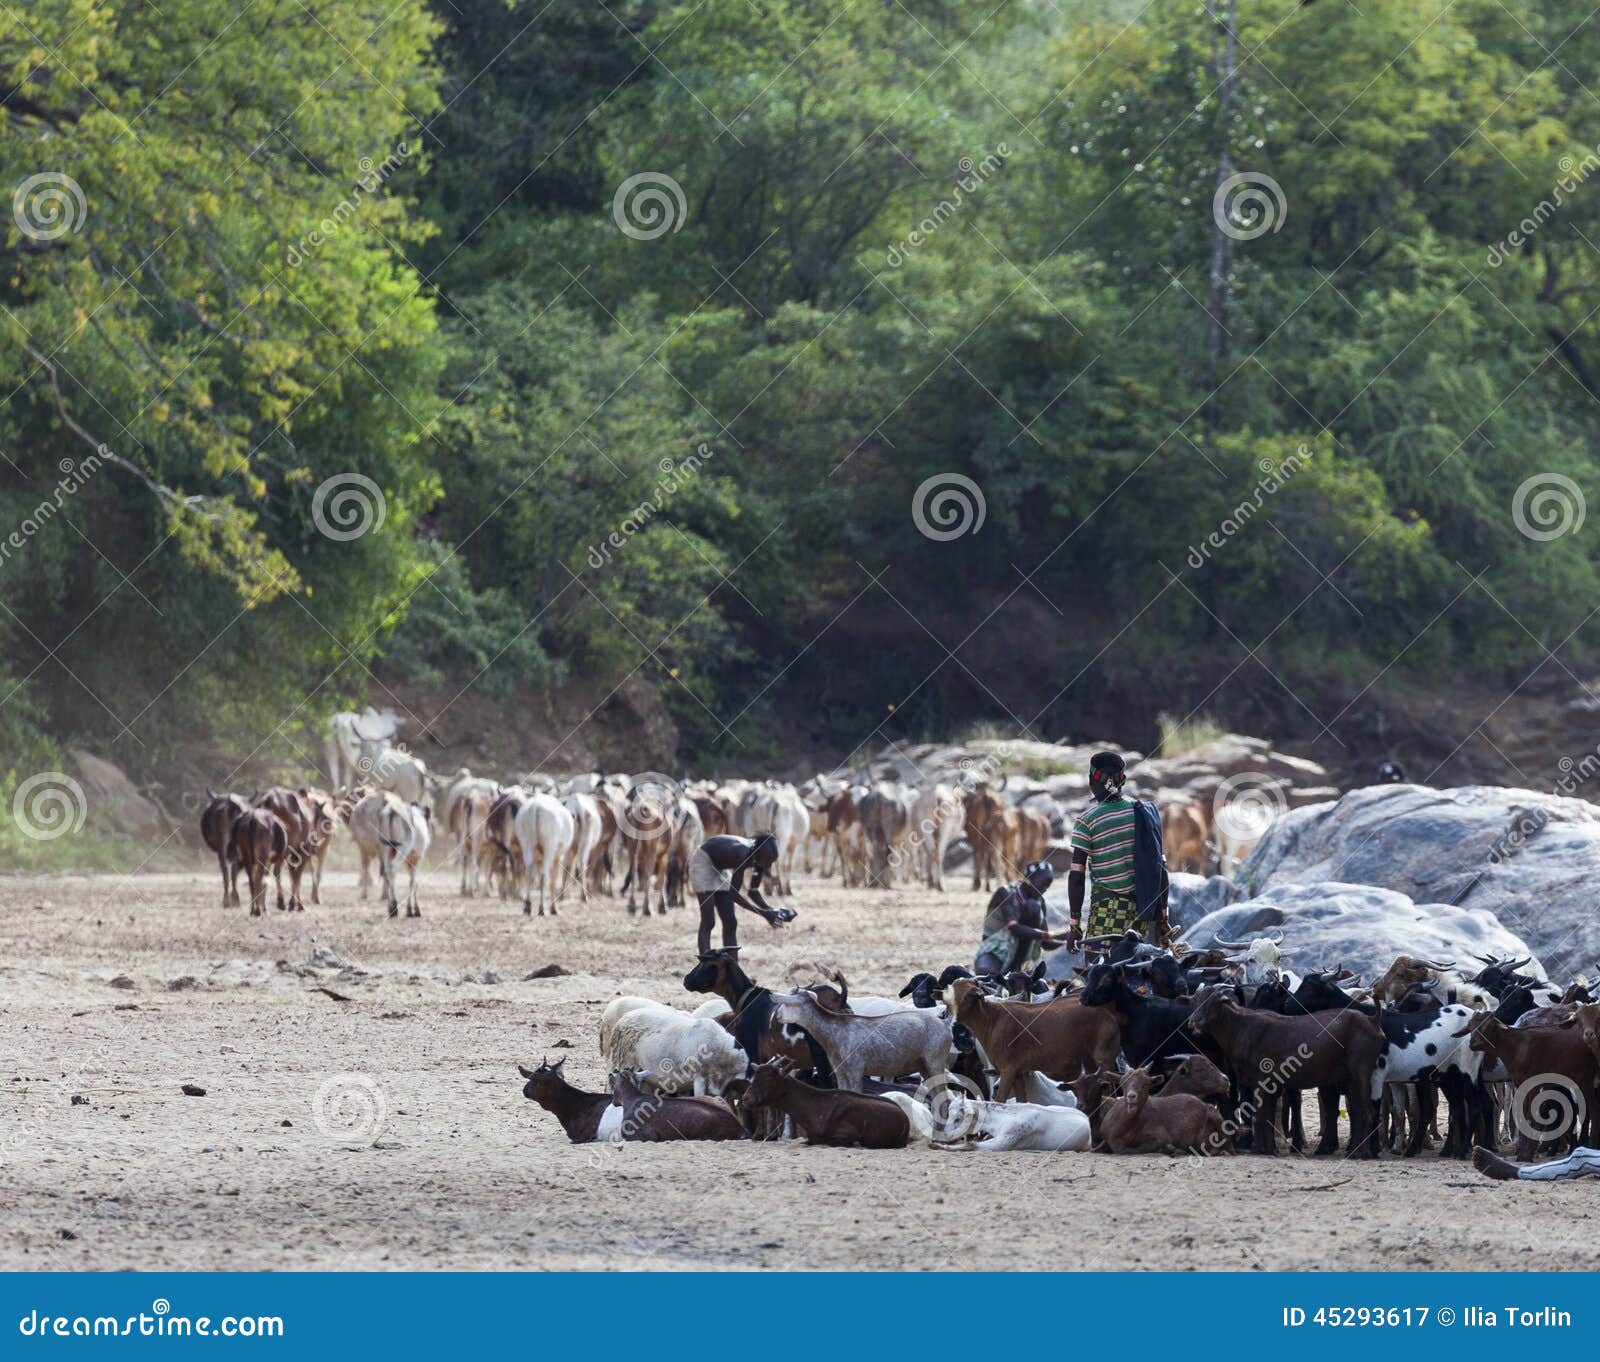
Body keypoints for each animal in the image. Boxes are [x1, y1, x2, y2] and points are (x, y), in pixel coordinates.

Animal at [953, 973, 1120, 1101]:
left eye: (968, 996)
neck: (992, 1019)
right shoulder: (1017, 1072)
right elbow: (1022, 1101)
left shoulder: (1008, 1070)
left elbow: (1000, 1101)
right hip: (1090, 1060)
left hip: (1105, 1056)